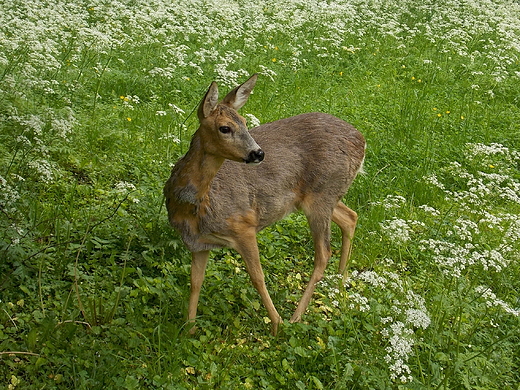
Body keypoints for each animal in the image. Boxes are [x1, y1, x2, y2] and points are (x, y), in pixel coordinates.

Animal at [164, 74, 366, 336]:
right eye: (225, 128)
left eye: (245, 122)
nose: (258, 153)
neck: (196, 205)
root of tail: (362, 141)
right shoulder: (198, 243)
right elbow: (195, 282)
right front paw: (188, 330)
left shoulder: (243, 225)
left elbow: (257, 277)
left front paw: (276, 325)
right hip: (322, 196)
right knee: (350, 217)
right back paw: (340, 286)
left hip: (321, 195)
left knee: (323, 253)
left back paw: (296, 317)